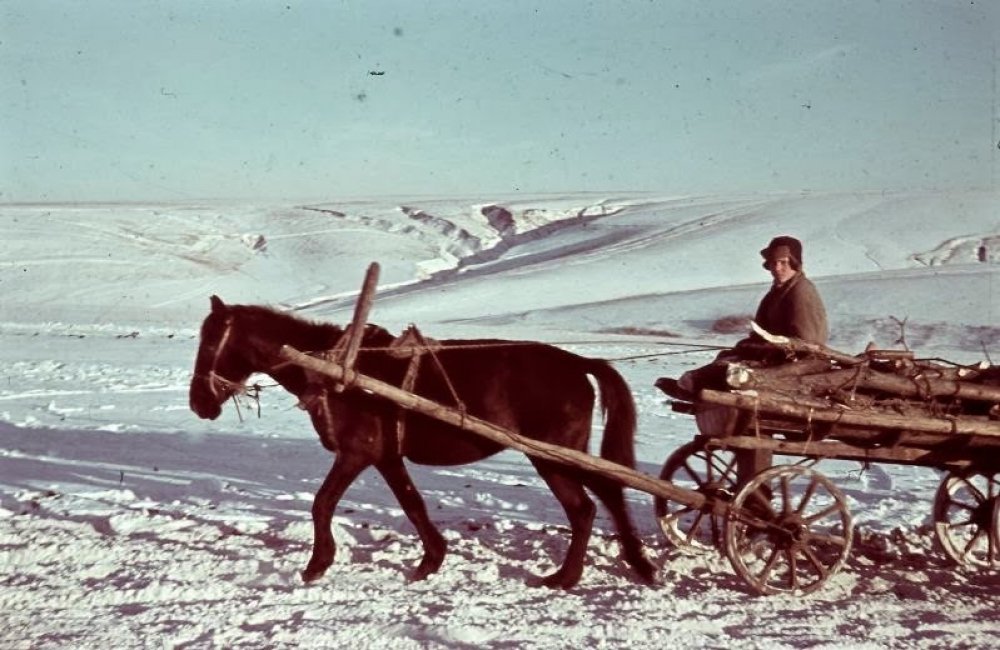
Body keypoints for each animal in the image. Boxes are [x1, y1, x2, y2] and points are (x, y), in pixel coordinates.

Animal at [188, 294, 656, 588]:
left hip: (552, 454)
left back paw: (577, 575)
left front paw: (317, 564)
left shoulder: (356, 453)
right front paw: (431, 559)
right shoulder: (385, 456)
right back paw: (621, 565)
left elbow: (322, 503)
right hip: (557, 453)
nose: (197, 403)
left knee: (589, 505)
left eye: (210, 343)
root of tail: (579, 362)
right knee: (601, 499)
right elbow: (412, 504)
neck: (337, 371)